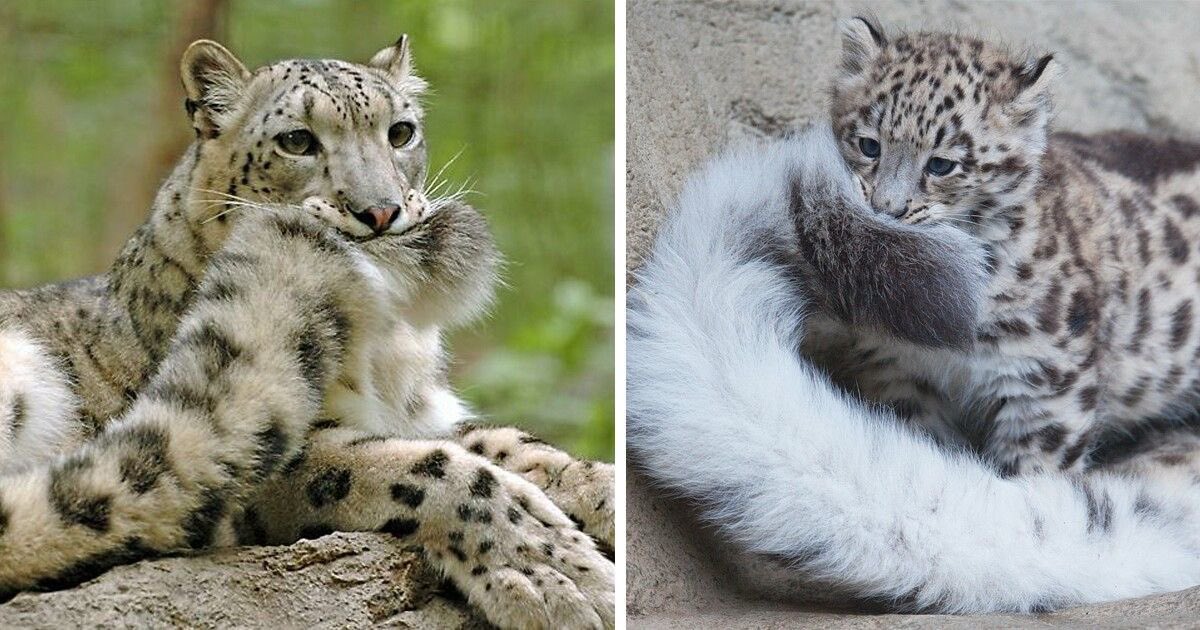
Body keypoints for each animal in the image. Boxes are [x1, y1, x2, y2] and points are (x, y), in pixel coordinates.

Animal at [0, 37, 613, 629]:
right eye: (297, 140)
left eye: (400, 132)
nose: (381, 211)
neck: (387, 349)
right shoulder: (294, 462)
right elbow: (431, 468)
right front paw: (558, 576)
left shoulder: (423, 414)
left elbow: (512, 442)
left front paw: (599, 490)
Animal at [802, 16, 1200, 478]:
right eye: (869, 145)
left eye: (942, 164)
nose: (887, 209)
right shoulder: (899, 371)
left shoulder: (1045, 382)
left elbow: (1033, 474)